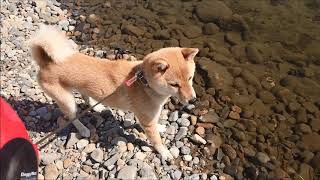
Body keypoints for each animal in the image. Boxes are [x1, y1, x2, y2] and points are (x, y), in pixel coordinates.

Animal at [30, 24, 200, 160]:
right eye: (175, 85)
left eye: (190, 78)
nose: (193, 100)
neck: (144, 82)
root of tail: (46, 61)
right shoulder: (146, 119)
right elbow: (156, 140)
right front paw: (164, 152)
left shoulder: (151, 115)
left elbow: (156, 123)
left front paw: (161, 127)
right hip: (67, 101)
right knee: (71, 117)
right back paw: (83, 129)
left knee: (85, 96)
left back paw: (97, 106)